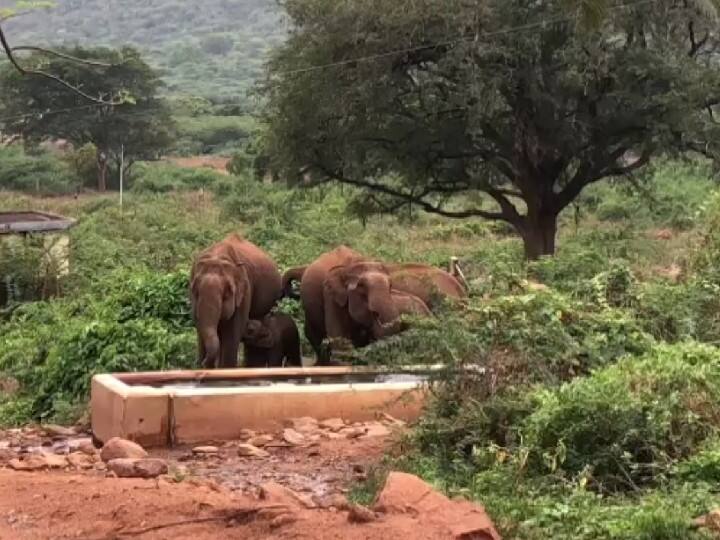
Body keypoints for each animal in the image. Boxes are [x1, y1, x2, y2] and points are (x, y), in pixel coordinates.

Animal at [190, 234, 282, 370]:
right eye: (196, 292)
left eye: (226, 294)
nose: (203, 363)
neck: (217, 256)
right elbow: (200, 331)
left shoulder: (245, 291)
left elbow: (231, 335)